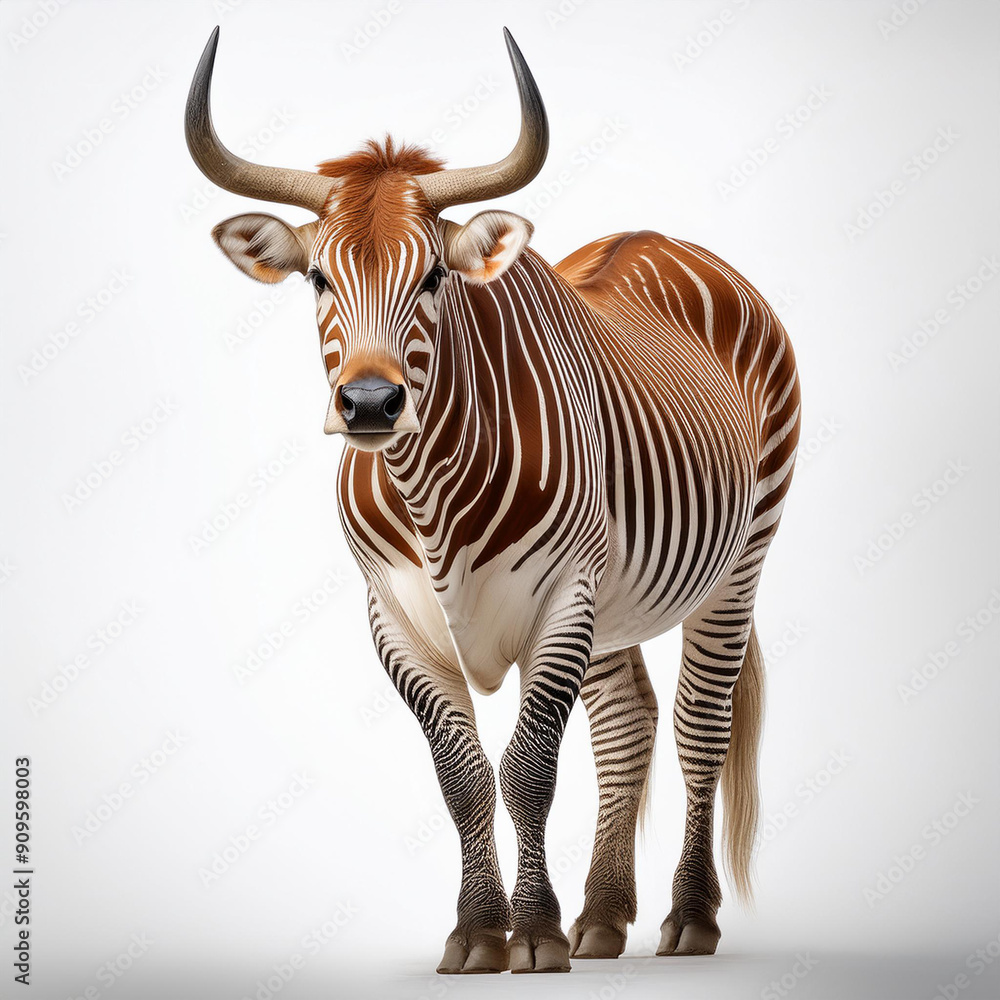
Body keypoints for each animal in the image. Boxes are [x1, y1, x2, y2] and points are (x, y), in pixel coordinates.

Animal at [186, 27, 800, 974]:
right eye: (318, 280)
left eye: (436, 277)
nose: (370, 407)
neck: (431, 492)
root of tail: (664, 237)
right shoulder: (395, 617)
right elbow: (463, 775)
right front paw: (482, 931)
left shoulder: (563, 598)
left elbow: (528, 769)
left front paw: (534, 933)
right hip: (619, 601)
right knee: (627, 724)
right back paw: (604, 918)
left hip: (737, 562)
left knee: (700, 725)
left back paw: (688, 919)